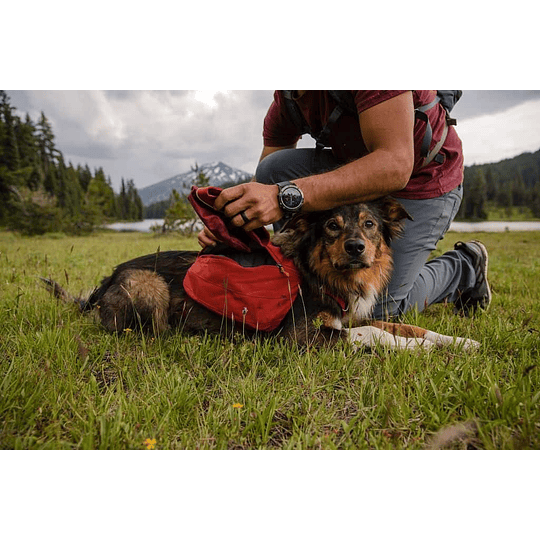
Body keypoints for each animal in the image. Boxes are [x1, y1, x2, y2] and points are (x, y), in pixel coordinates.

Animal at [43, 196, 480, 352]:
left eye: (370, 224)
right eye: (332, 227)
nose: (356, 248)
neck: (320, 272)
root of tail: (105, 281)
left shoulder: (349, 316)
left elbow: (406, 325)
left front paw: (458, 341)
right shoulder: (300, 337)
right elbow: (376, 334)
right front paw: (417, 350)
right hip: (150, 285)